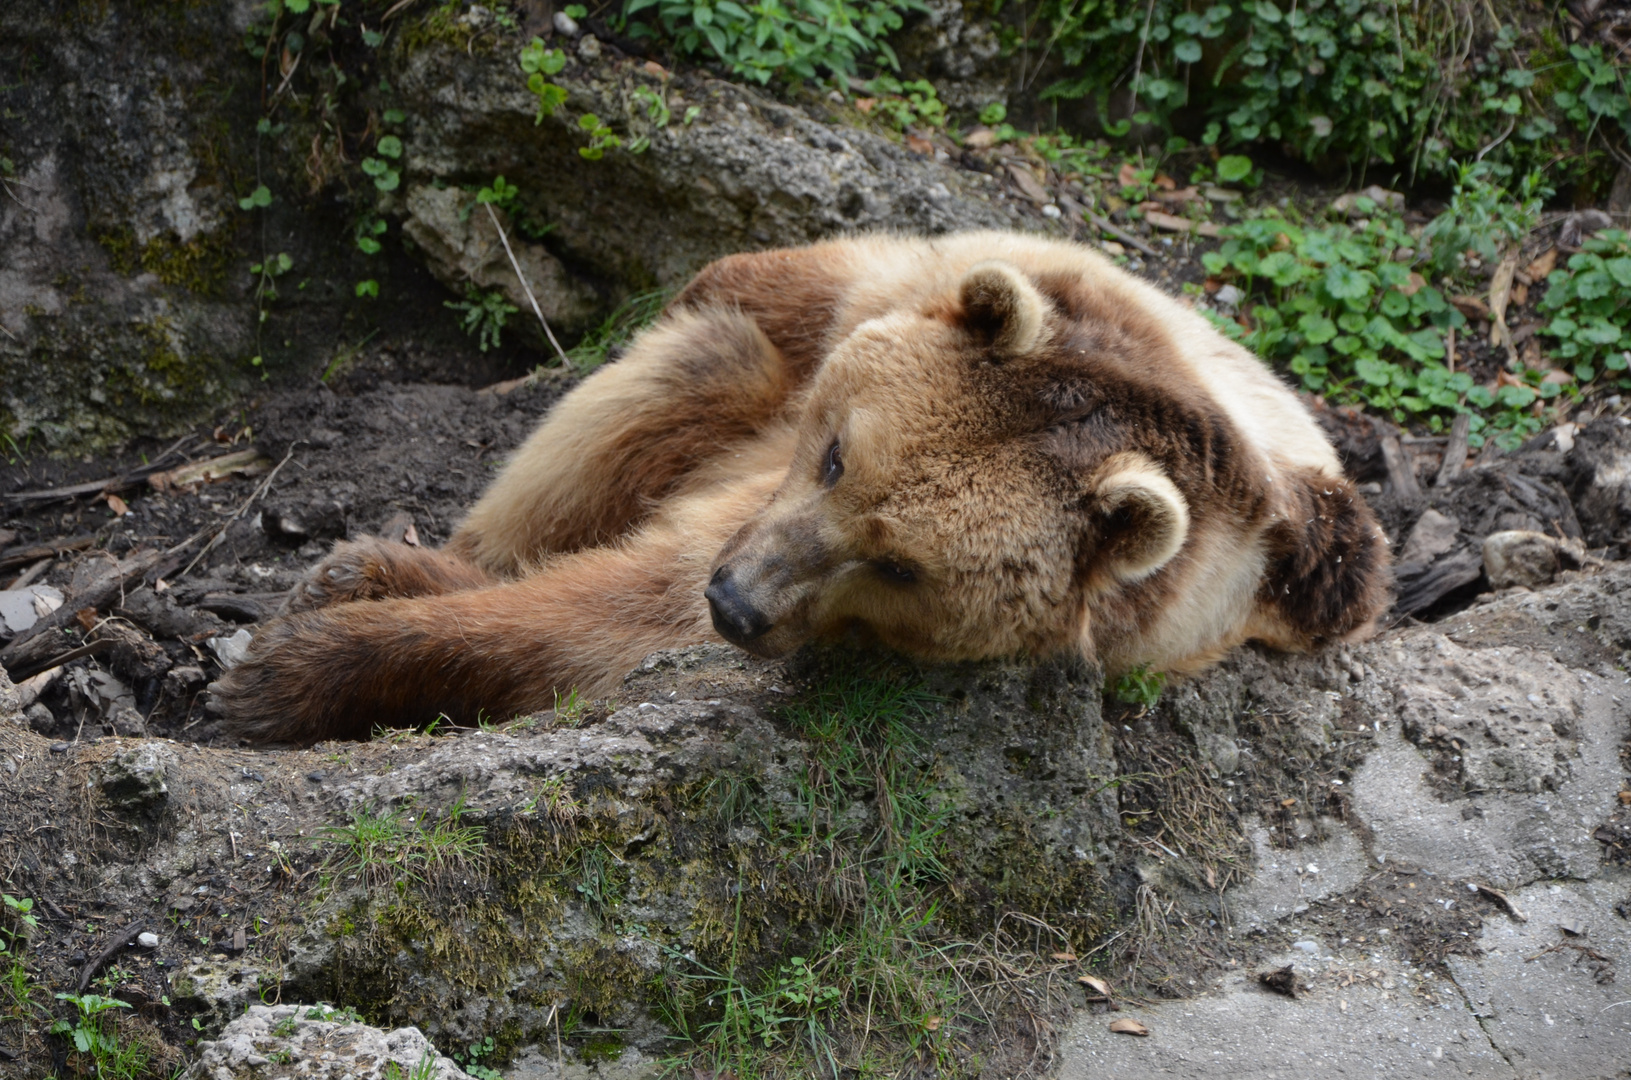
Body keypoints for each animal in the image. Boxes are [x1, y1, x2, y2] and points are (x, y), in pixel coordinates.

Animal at [210, 233, 1389, 743]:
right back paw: (387, 560)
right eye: (837, 456)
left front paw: (290, 672)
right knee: (680, 373)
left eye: (902, 566)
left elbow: (609, 621)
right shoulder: (915, 290)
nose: (737, 605)